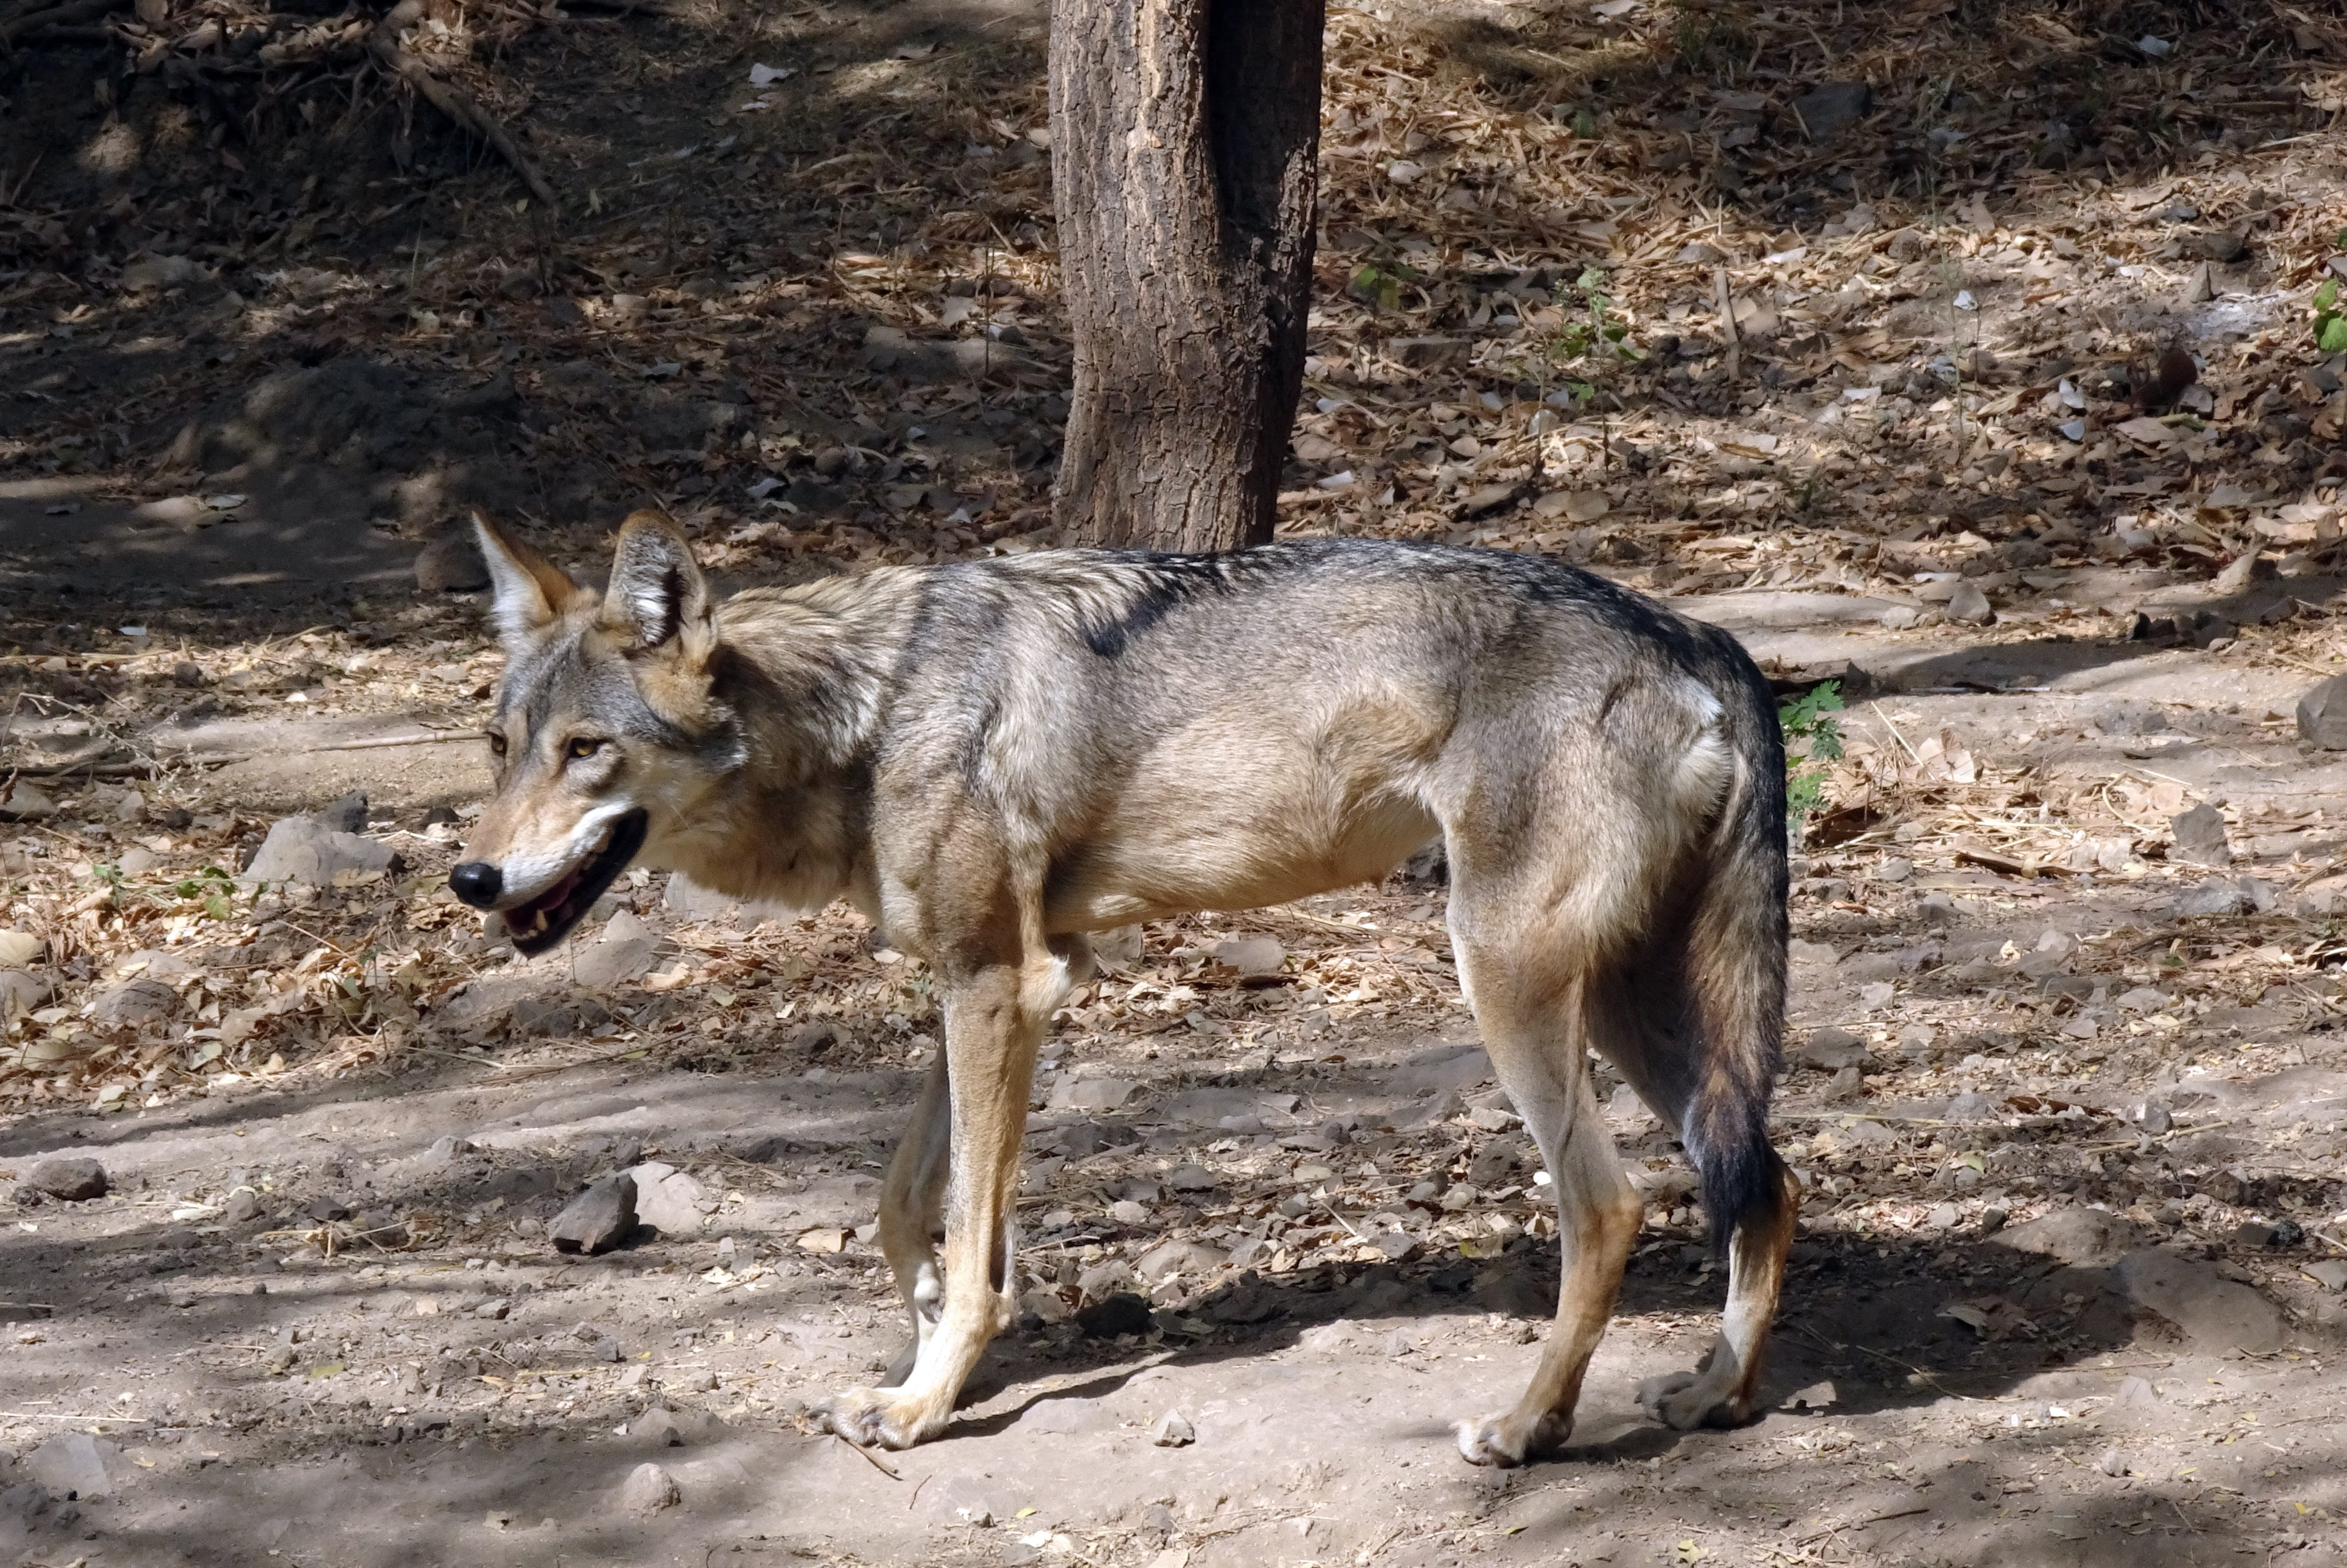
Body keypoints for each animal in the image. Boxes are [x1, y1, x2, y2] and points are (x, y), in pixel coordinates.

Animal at [449, 507, 1800, 1466]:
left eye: (588, 751)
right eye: (502, 748)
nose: (470, 876)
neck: (872, 710)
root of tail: (1696, 636)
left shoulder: (1002, 982)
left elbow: (970, 1233)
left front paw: (925, 1401)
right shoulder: (1000, 980)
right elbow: (909, 1206)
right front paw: (923, 1328)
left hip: (1510, 985)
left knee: (1610, 1206)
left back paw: (1528, 1430)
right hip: (1629, 1009)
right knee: (1765, 1178)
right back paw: (1717, 1394)